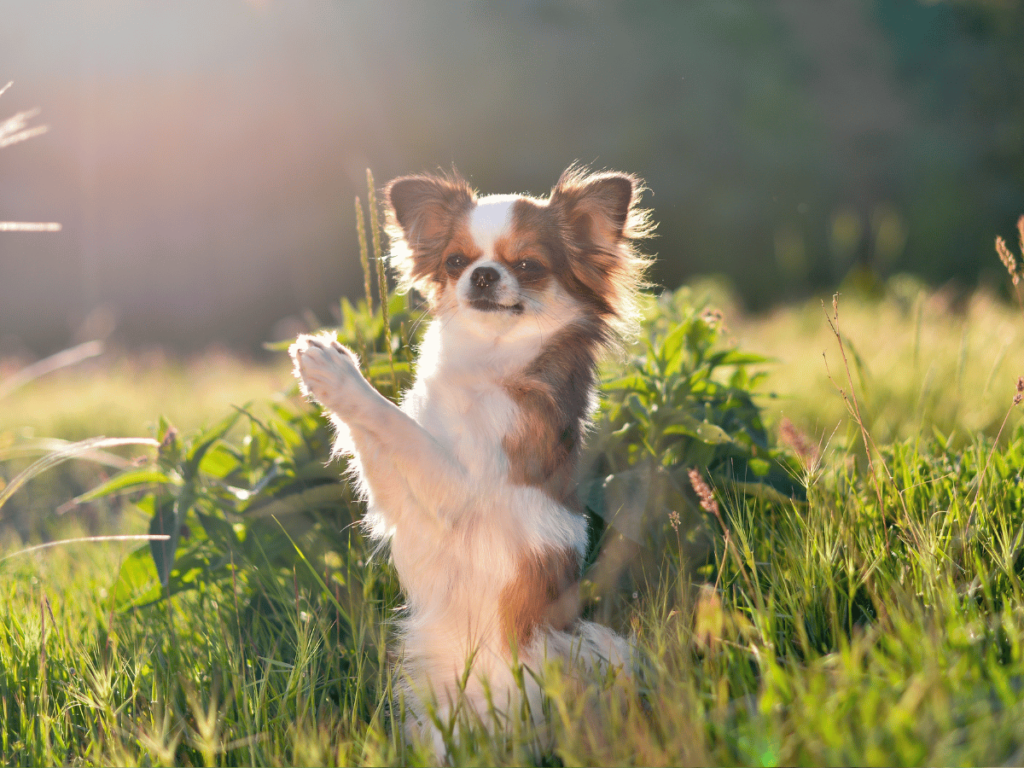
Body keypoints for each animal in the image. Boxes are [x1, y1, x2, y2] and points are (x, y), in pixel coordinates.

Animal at [292, 163, 651, 757]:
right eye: (456, 261)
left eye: (528, 266)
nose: (482, 275)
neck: (486, 361)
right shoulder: (401, 502)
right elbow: (378, 437)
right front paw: (322, 374)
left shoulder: (458, 488)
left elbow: (396, 425)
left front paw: (337, 371)